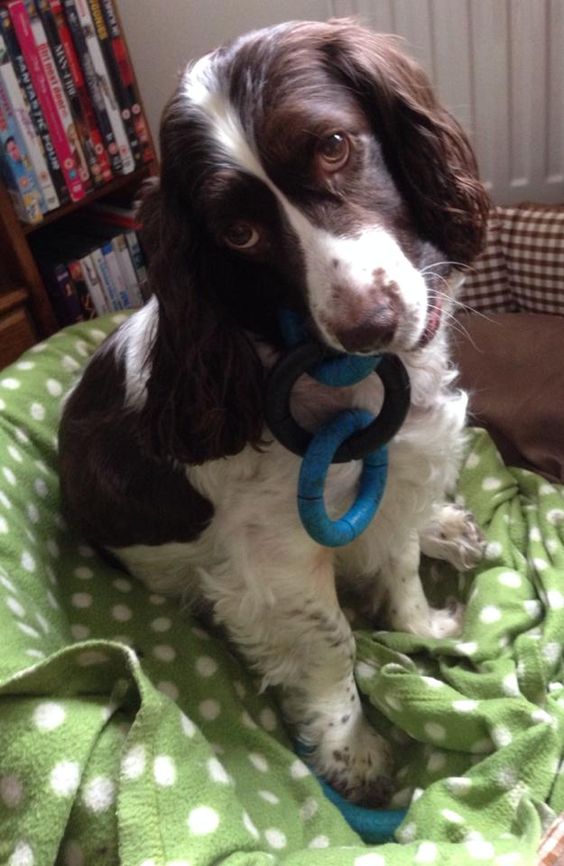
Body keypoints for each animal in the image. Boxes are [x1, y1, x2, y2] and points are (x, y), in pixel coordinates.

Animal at [58, 18, 490, 804]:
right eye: (238, 233)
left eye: (334, 146)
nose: (370, 328)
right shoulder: (277, 557)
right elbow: (332, 639)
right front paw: (354, 751)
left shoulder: (402, 470)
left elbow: (401, 562)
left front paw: (422, 629)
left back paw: (446, 527)